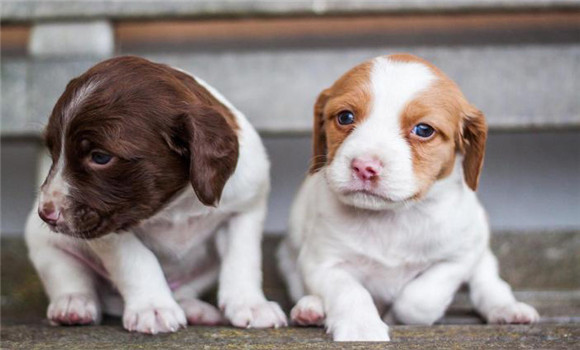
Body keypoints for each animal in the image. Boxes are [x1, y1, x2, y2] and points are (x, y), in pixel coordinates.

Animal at [25, 55, 288, 334]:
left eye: (100, 157)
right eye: (53, 152)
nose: (46, 213)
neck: (177, 204)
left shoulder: (243, 211)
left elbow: (242, 260)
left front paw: (250, 303)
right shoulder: (110, 223)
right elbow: (138, 260)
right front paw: (152, 307)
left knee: (185, 289)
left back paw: (193, 308)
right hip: (47, 248)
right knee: (69, 276)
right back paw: (73, 303)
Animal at [276, 54, 540, 342]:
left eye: (423, 130)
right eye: (345, 117)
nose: (364, 167)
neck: (391, 218)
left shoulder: (461, 255)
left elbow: (420, 299)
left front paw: (396, 316)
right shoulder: (322, 261)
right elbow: (350, 291)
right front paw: (362, 328)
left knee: (489, 282)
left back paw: (507, 309)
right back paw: (310, 309)